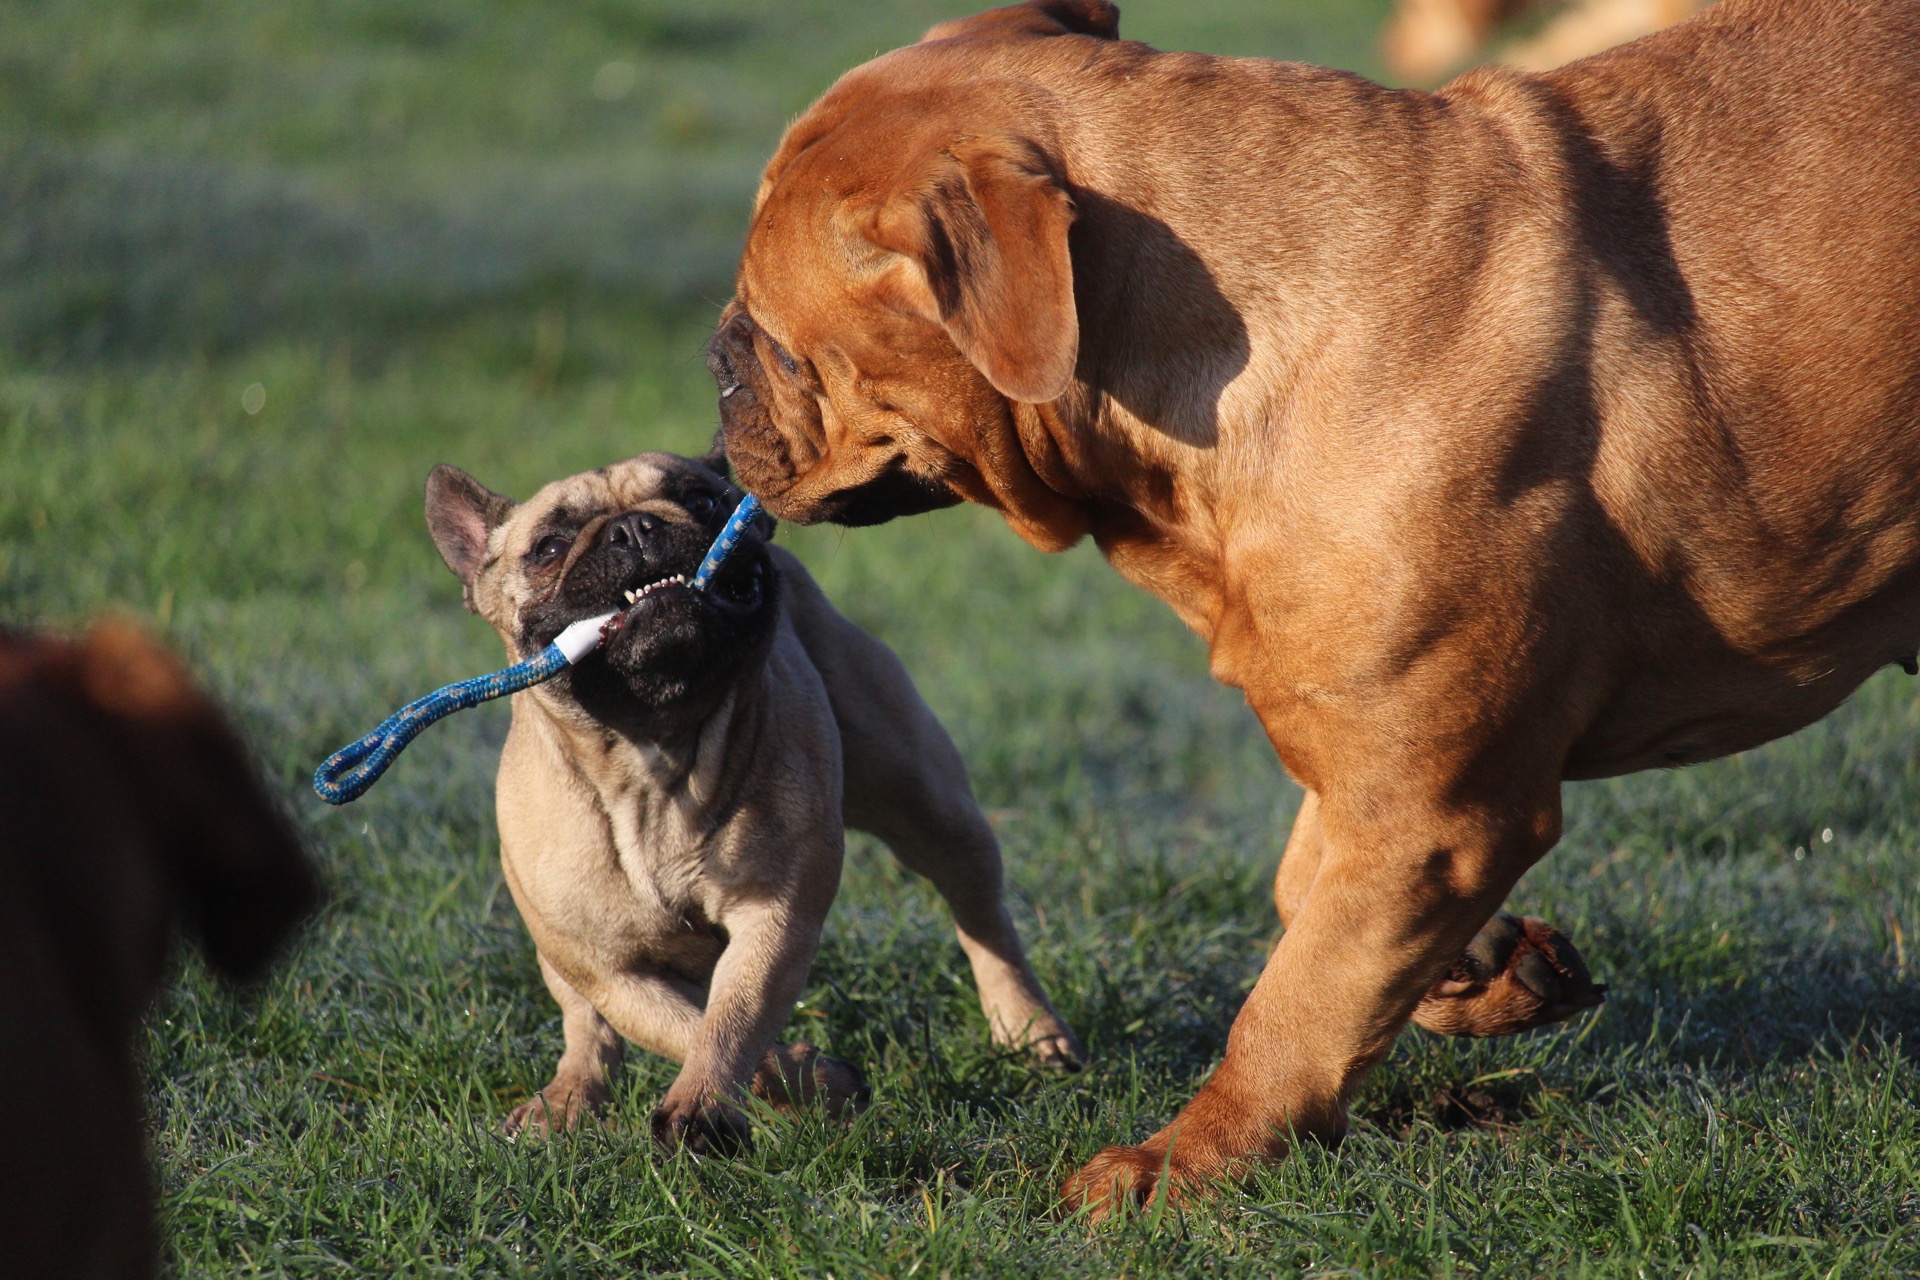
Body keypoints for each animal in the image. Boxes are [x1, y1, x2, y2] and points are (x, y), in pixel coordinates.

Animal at [706, 0, 1920, 1220]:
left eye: (778, 345)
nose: (714, 367)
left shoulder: (1435, 806)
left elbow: (1290, 1006)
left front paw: (1180, 1162)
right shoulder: (1379, 748)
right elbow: (1308, 893)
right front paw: (1479, 965)